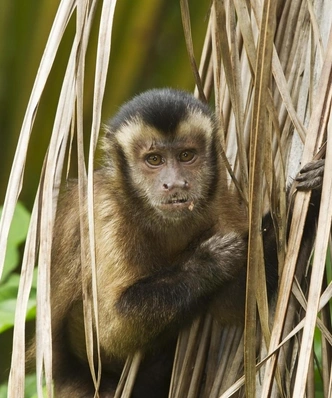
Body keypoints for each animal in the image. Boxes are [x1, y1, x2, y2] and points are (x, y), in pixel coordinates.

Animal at [44, 88, 324, 396]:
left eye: (186, 155)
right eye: (154, 160)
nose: (175, 183)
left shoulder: (219, 202)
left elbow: (232, 304)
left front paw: (313, 196)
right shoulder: (104, 214)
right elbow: (113, 329)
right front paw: (206, 263)